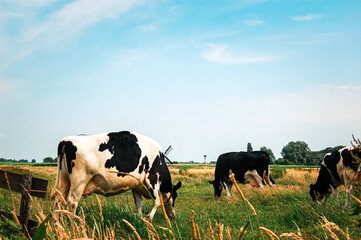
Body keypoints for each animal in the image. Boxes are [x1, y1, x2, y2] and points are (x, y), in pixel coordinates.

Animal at [50, 131, 183, 219]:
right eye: (175, 195)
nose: (173, 214)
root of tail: (66, 140)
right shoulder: (153, 179)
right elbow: (157, 202)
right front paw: (148, 218)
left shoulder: (136, 185)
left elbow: (139, 204)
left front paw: (140, 219)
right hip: (79, 180)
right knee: (72, 203)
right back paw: (75, 226)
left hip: (64, 178)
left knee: (58, 199)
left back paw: (58, 225)